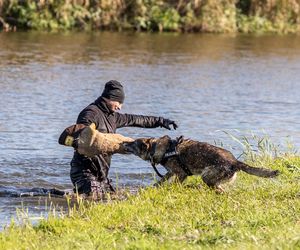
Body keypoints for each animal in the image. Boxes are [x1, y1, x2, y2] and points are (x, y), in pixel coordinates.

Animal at [122, 136, 278, 190]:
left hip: (206, 175)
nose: (123, 143)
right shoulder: (171, 172)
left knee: (217, 188)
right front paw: (154, 187)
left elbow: (175, 183)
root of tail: (235, 161)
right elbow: (161, 181)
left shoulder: (181, 174)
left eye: (132, 143)